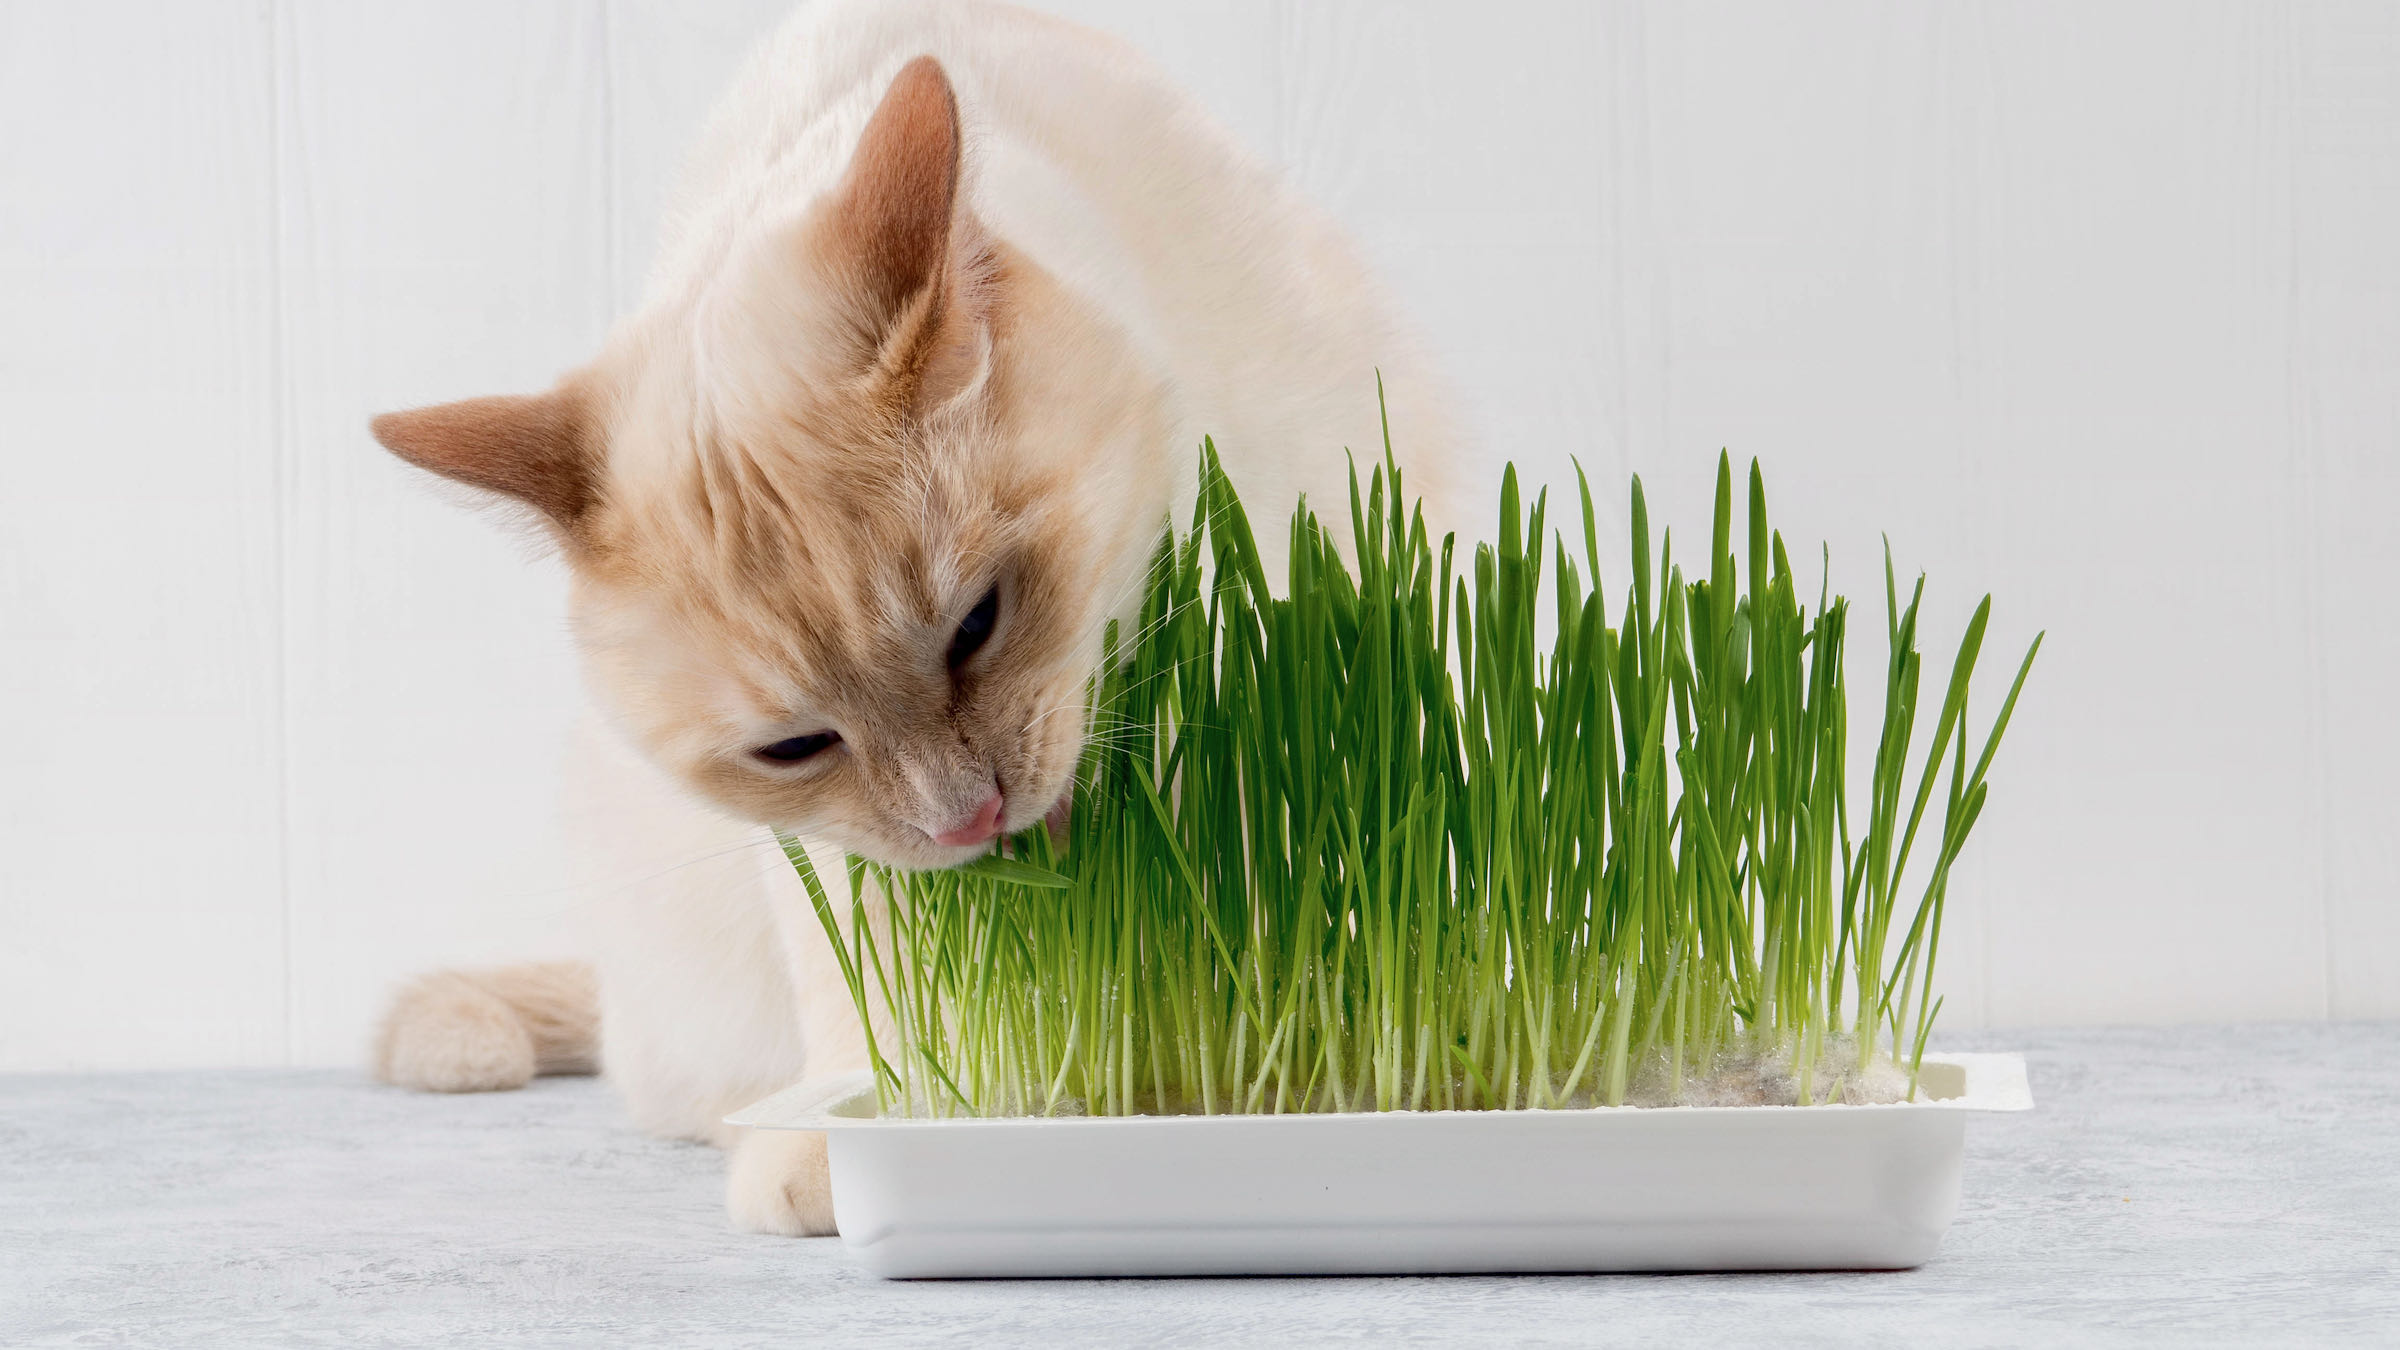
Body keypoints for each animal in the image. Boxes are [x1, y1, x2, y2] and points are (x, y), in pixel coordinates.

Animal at [369, 0, 1459, 1229]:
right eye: (795, 748)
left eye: (977, 623)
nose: (968, 820)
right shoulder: (834, 848)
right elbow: (880, 1000)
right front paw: (864, 1141)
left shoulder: (1295, 628)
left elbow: (1278, 914)